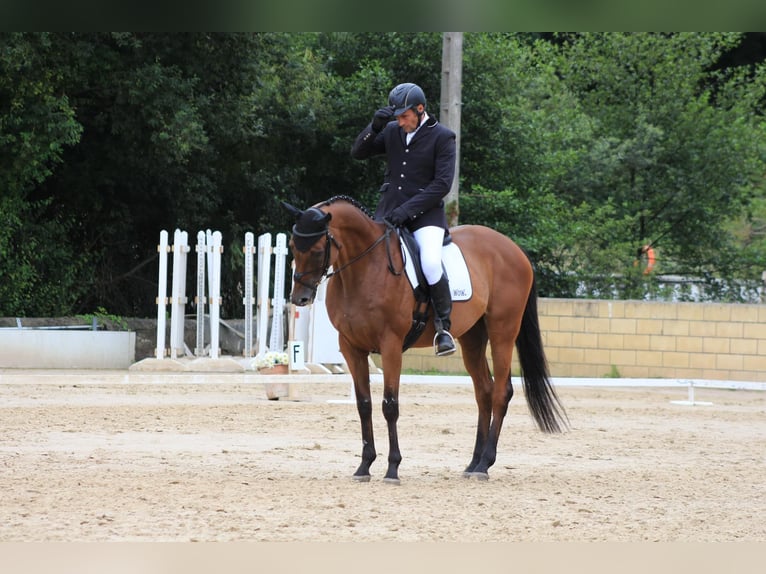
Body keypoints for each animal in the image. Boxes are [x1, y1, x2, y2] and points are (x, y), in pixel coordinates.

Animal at [284, 196, 568, 484]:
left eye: (318, 250)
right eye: (293, 246)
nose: (300, 298)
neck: (365, 269)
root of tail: (515, 250)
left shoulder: (391, 345)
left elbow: (390, 405)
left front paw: (392, 468)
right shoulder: (351, 347)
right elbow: (364, 404)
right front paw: (364, 466)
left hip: (503, 331)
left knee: (501, 391)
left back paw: (484, 465)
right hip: (472, 337)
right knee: (484, 391)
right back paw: (472, 464)